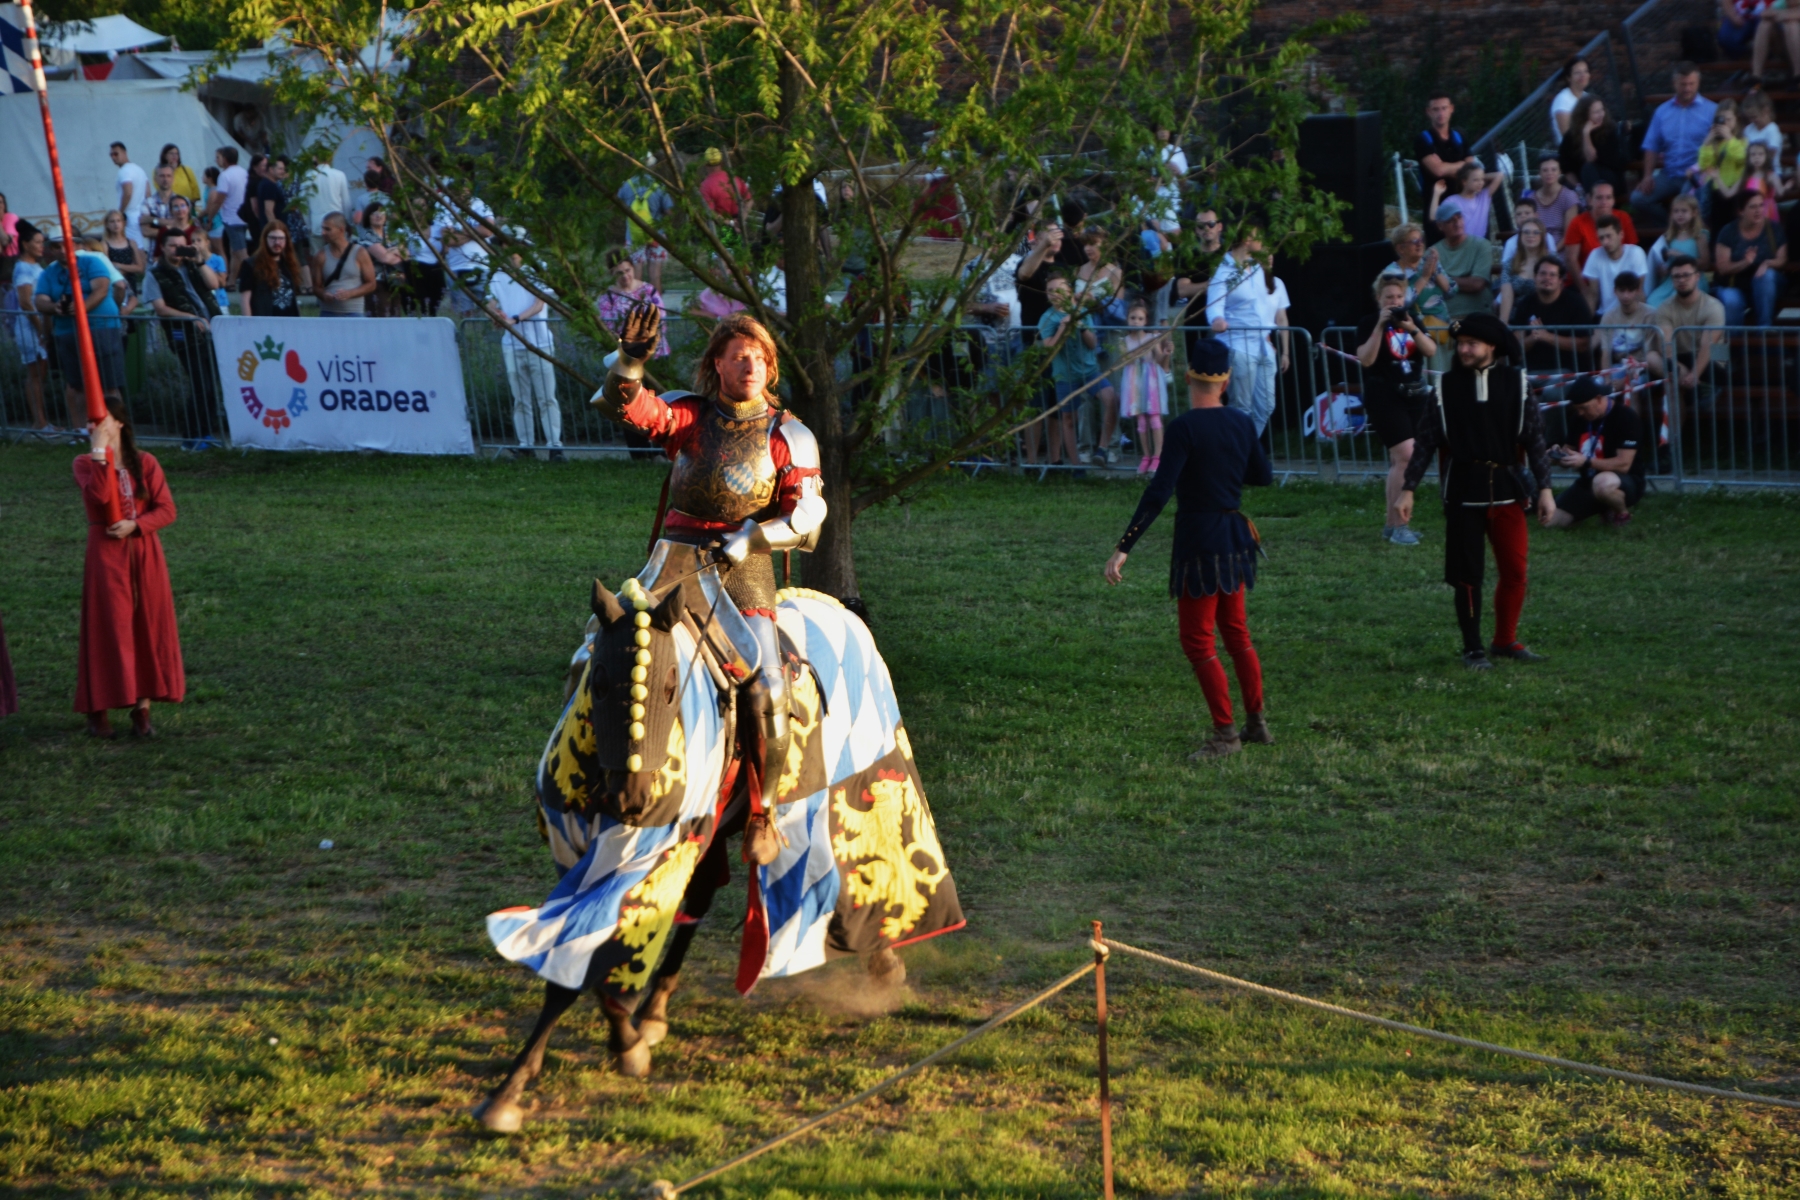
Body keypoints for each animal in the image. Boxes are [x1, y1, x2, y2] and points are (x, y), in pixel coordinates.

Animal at [474, 564, 963, 1133]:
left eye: (670, 687)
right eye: (598, 680)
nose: (632, 799)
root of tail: (838, 609)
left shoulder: (643, 853)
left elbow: (581, 958)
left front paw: (527, 1083)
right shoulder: (580, 854)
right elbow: (577, 952)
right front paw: (610, 1045)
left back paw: (882, 957)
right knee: (704, 897)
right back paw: (655, 1010)